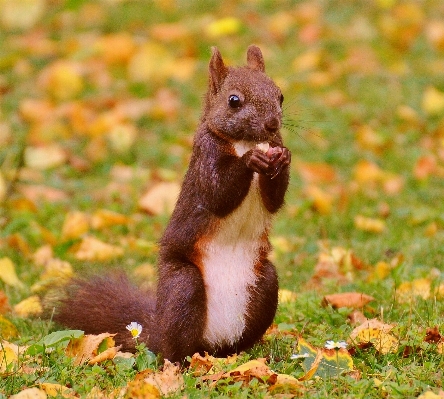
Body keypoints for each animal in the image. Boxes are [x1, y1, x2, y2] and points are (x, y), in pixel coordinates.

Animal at [54, 45, 292, 364]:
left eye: (280, 95)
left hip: (265, 284)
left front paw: (283, 157)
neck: (245, 141)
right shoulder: (205, 157)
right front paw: (250, 160)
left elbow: (274, 200)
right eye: (234, 100)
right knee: (175, 347)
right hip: (183, 287)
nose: (272, 124)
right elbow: (218, 193)